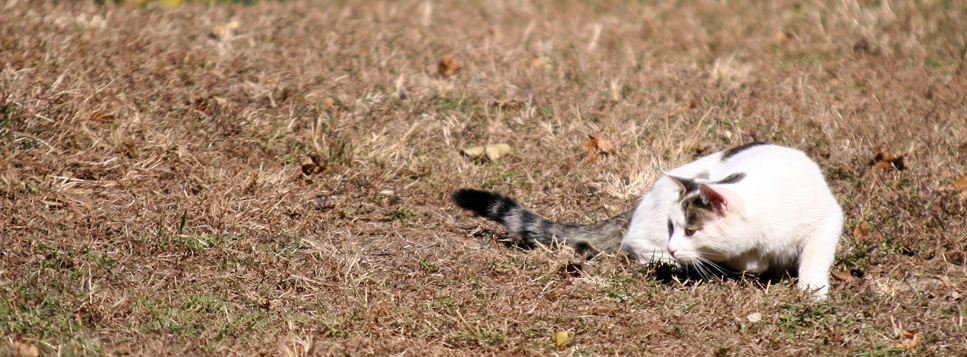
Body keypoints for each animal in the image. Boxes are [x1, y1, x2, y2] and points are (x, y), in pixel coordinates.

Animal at [452, 140, 840, 296]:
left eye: (691, 231)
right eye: (674, 229)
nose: (673, 248)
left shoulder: (828, 218)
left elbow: (816, 254)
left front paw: (812, 289)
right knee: (633, 244)